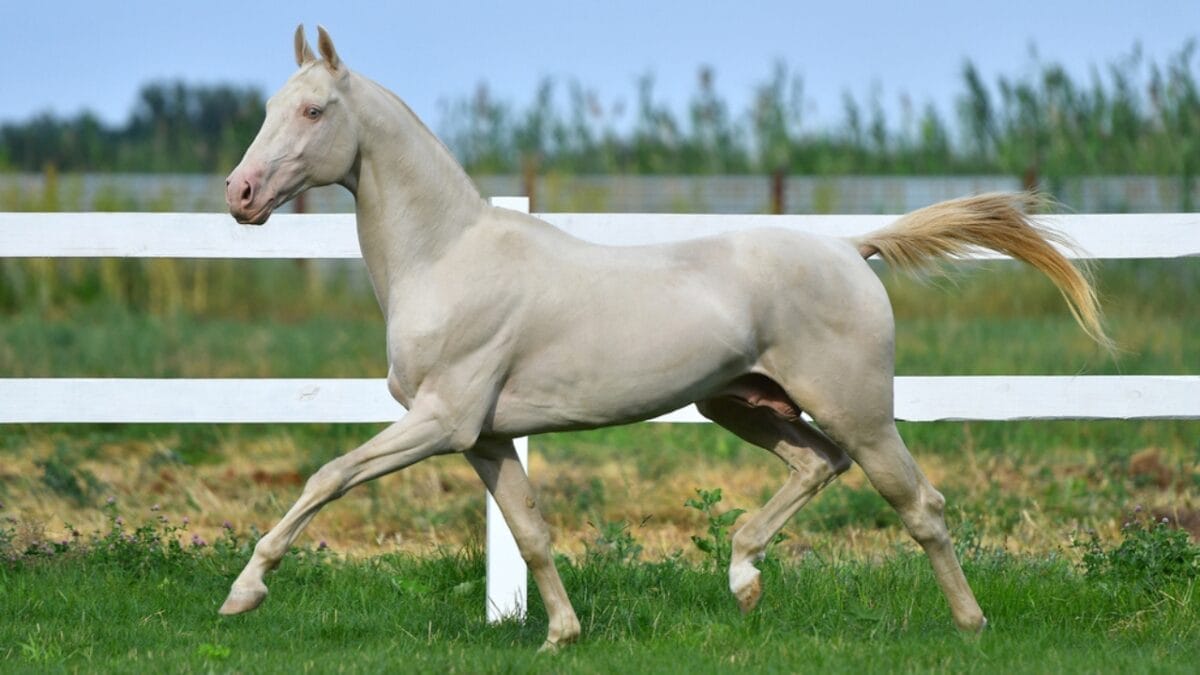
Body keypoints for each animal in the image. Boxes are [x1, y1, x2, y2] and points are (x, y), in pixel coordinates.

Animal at [220, 25, 1109, 650]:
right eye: (265, 111)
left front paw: (243, 593)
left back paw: (970, 625)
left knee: (918, 503)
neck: (448, 257)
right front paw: (561, 635)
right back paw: (744, 577)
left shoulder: (441, 419)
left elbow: (328, 475)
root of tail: (851, 247)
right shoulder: (485, 436)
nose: (241, 193)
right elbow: (531, 533)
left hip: (858, 411)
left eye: (313, 110)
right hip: (743, 403)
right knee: (817, 464)